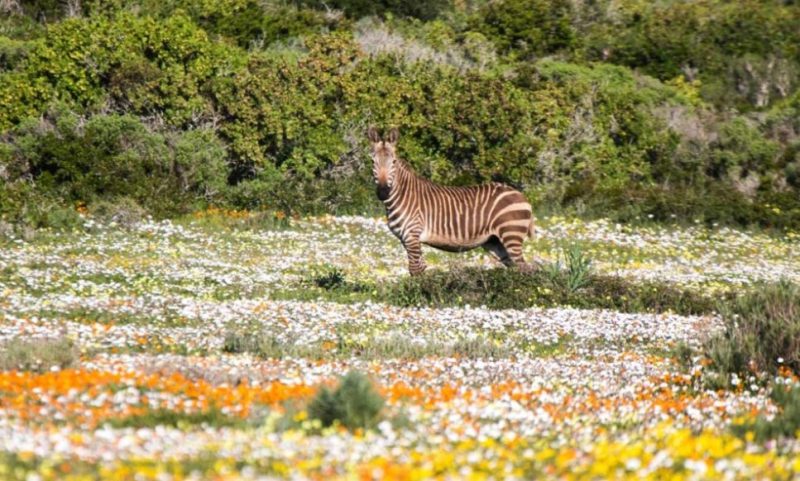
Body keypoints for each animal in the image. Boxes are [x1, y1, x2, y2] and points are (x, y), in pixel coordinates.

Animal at [370, 125, 536, 276]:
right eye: (372, 162)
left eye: (394, 162)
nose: (383, 192)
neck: (403, 195)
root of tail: (521, 195)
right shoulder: (406, 239)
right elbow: (421, 268)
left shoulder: (412, 235)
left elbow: (415, 270)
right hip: (494, 242)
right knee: (517, 268)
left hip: (511, 234)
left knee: (526, 268)